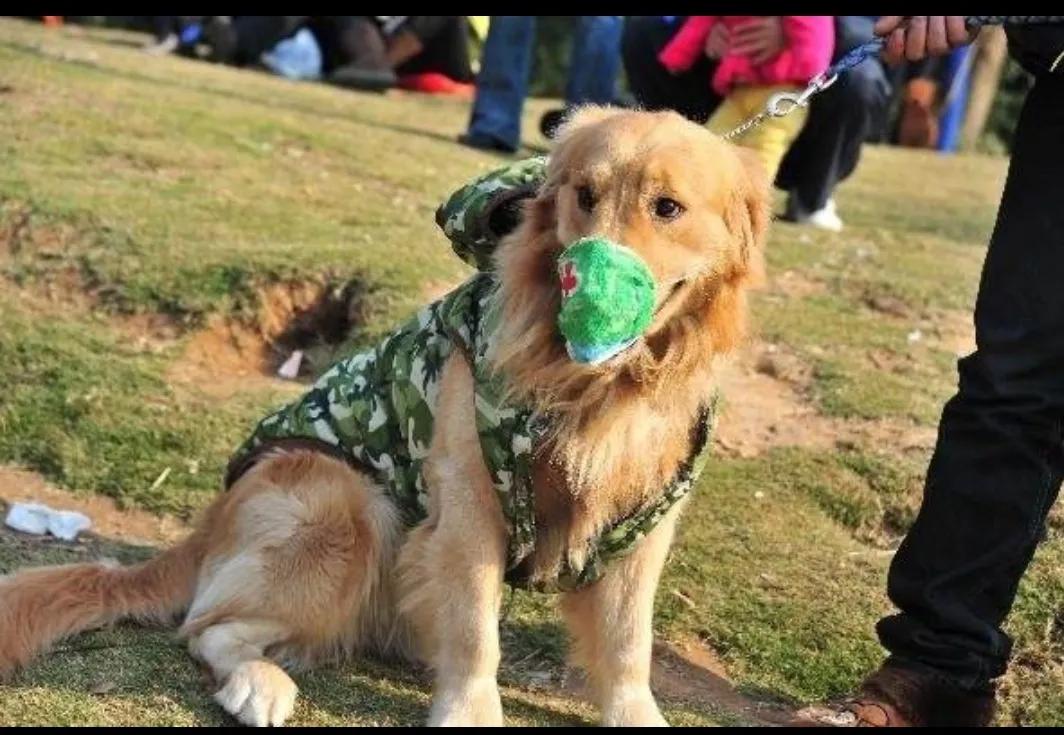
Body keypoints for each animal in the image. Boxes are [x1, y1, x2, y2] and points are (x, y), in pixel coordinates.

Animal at [0, 106, 766, 727]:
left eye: (666, 207)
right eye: (584, 194)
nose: (581, 278)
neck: (595, 388)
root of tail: (208, 523)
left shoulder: (642, 521)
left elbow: (628, 643)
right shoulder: (470, 505)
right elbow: (475, 630)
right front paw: (469, 712)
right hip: (349, 507)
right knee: (204, 626)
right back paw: (259, 684)